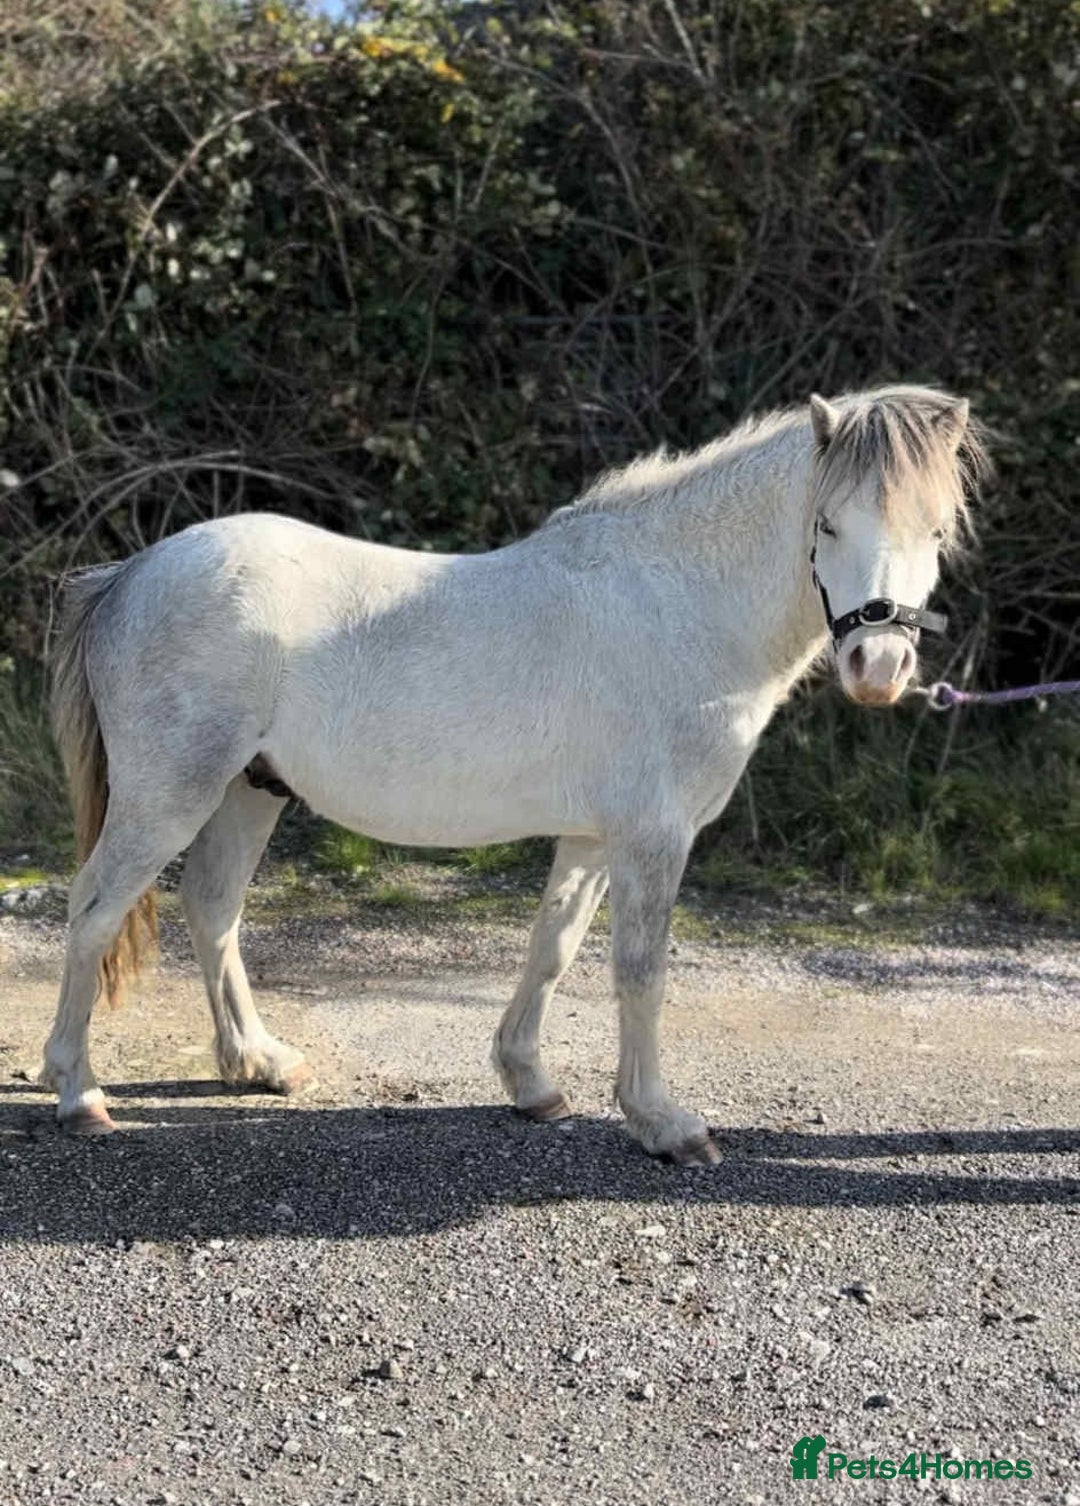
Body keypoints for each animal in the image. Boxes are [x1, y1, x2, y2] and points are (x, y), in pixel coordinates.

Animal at [43, 385, 987, 1163]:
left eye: (935, 533)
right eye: (827, 526)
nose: (877, 667)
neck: (678, 608)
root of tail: (130, 573)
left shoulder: (593, 838)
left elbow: (553, 947)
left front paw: (531, 1084)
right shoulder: (653, 837)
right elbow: (639, 971)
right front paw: (664, 1124)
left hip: (248, 791)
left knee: (213, 910)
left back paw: (259, 1062)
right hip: (170, 797)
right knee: (94, 913)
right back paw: (79, 1093)